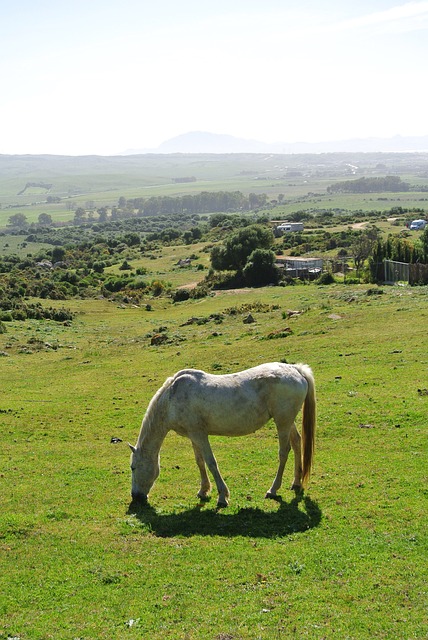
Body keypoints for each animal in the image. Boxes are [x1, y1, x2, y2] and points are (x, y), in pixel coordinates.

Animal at [129, 362, 316, 508]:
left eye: (133, 467)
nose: (136, 497)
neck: (171, 399)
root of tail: (296, 369)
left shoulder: (200, 435)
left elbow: (211, 462)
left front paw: (222, 497)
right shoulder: (194, 435)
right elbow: (200, 461)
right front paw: (203, 490)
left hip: (282, 422)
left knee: (284, 452)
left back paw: (273, 489)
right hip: (287, 421)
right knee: (297, 443)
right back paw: (296, 483)